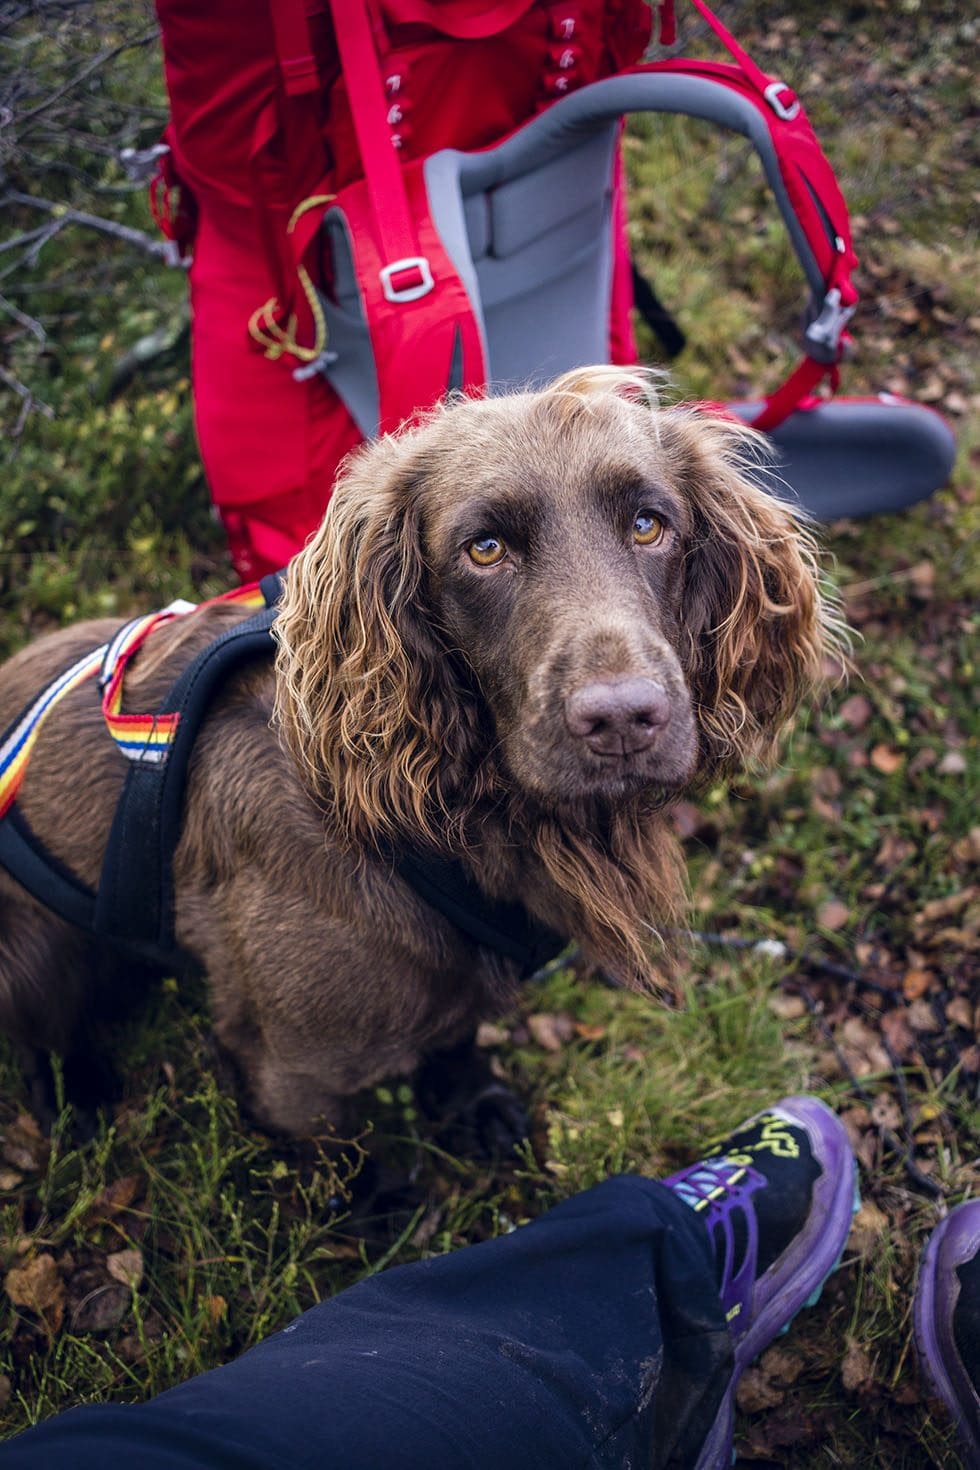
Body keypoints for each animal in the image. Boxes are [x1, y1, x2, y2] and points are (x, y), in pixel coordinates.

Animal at [0, 367, 840, 1134]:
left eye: (647, 525)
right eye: (485, 549)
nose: (624, 720)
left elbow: (458, 1039)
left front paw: (475, 1106)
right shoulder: (292, 1071)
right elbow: (345, 1176)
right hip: (41, 951)